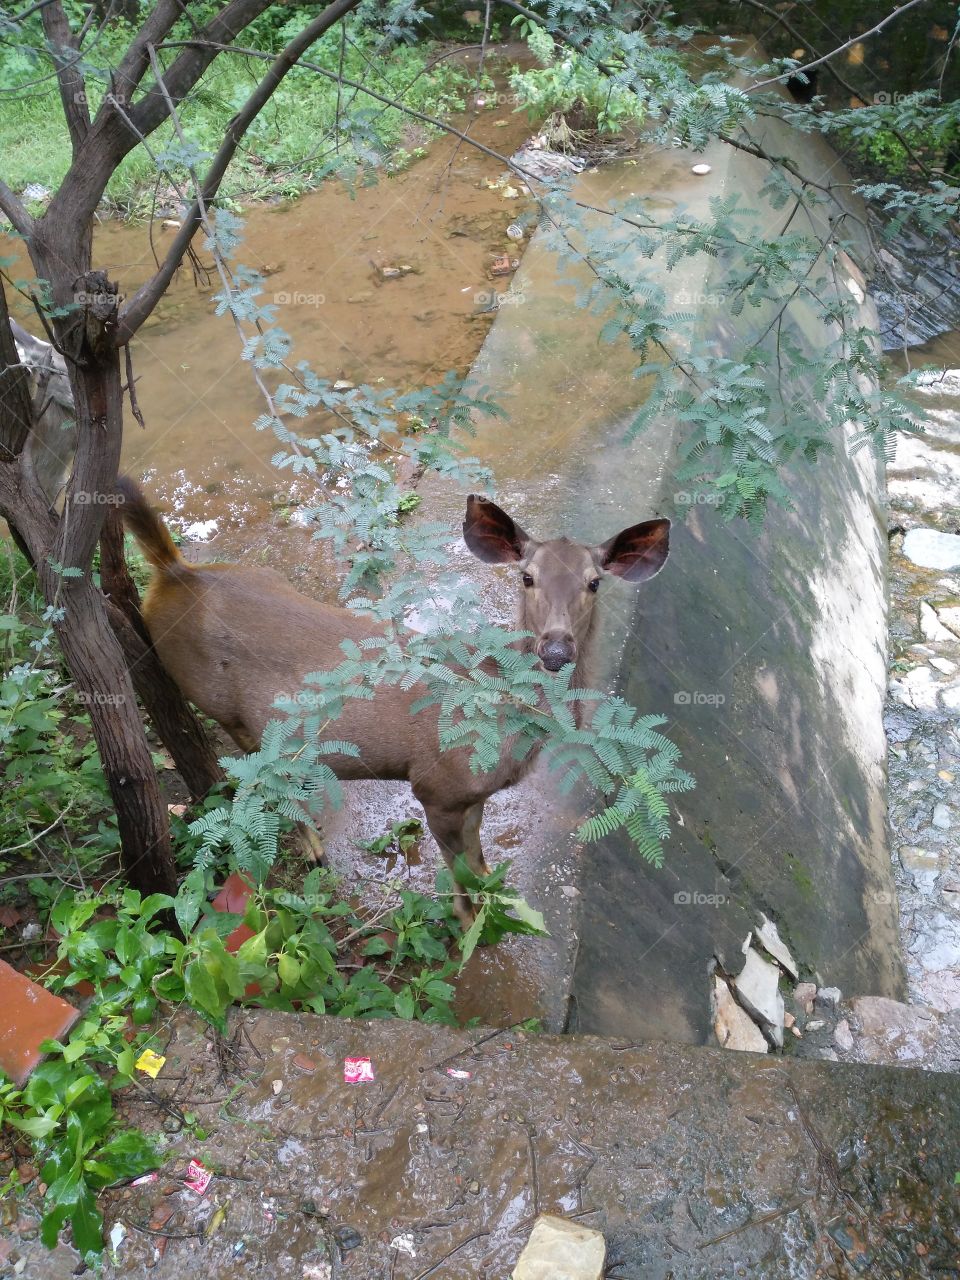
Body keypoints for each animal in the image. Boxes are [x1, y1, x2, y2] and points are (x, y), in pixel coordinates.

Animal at [116, 479, 670, 922]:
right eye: (526, 576)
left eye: (594, 582)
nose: (555, 649)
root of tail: (174, 573)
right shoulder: (436, 784)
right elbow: (459, 872)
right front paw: (470, 927)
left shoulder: (472, 794)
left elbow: (479, 857)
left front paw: (498, 898)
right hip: (223, 706)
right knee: (262, 777)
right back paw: (314, 850)